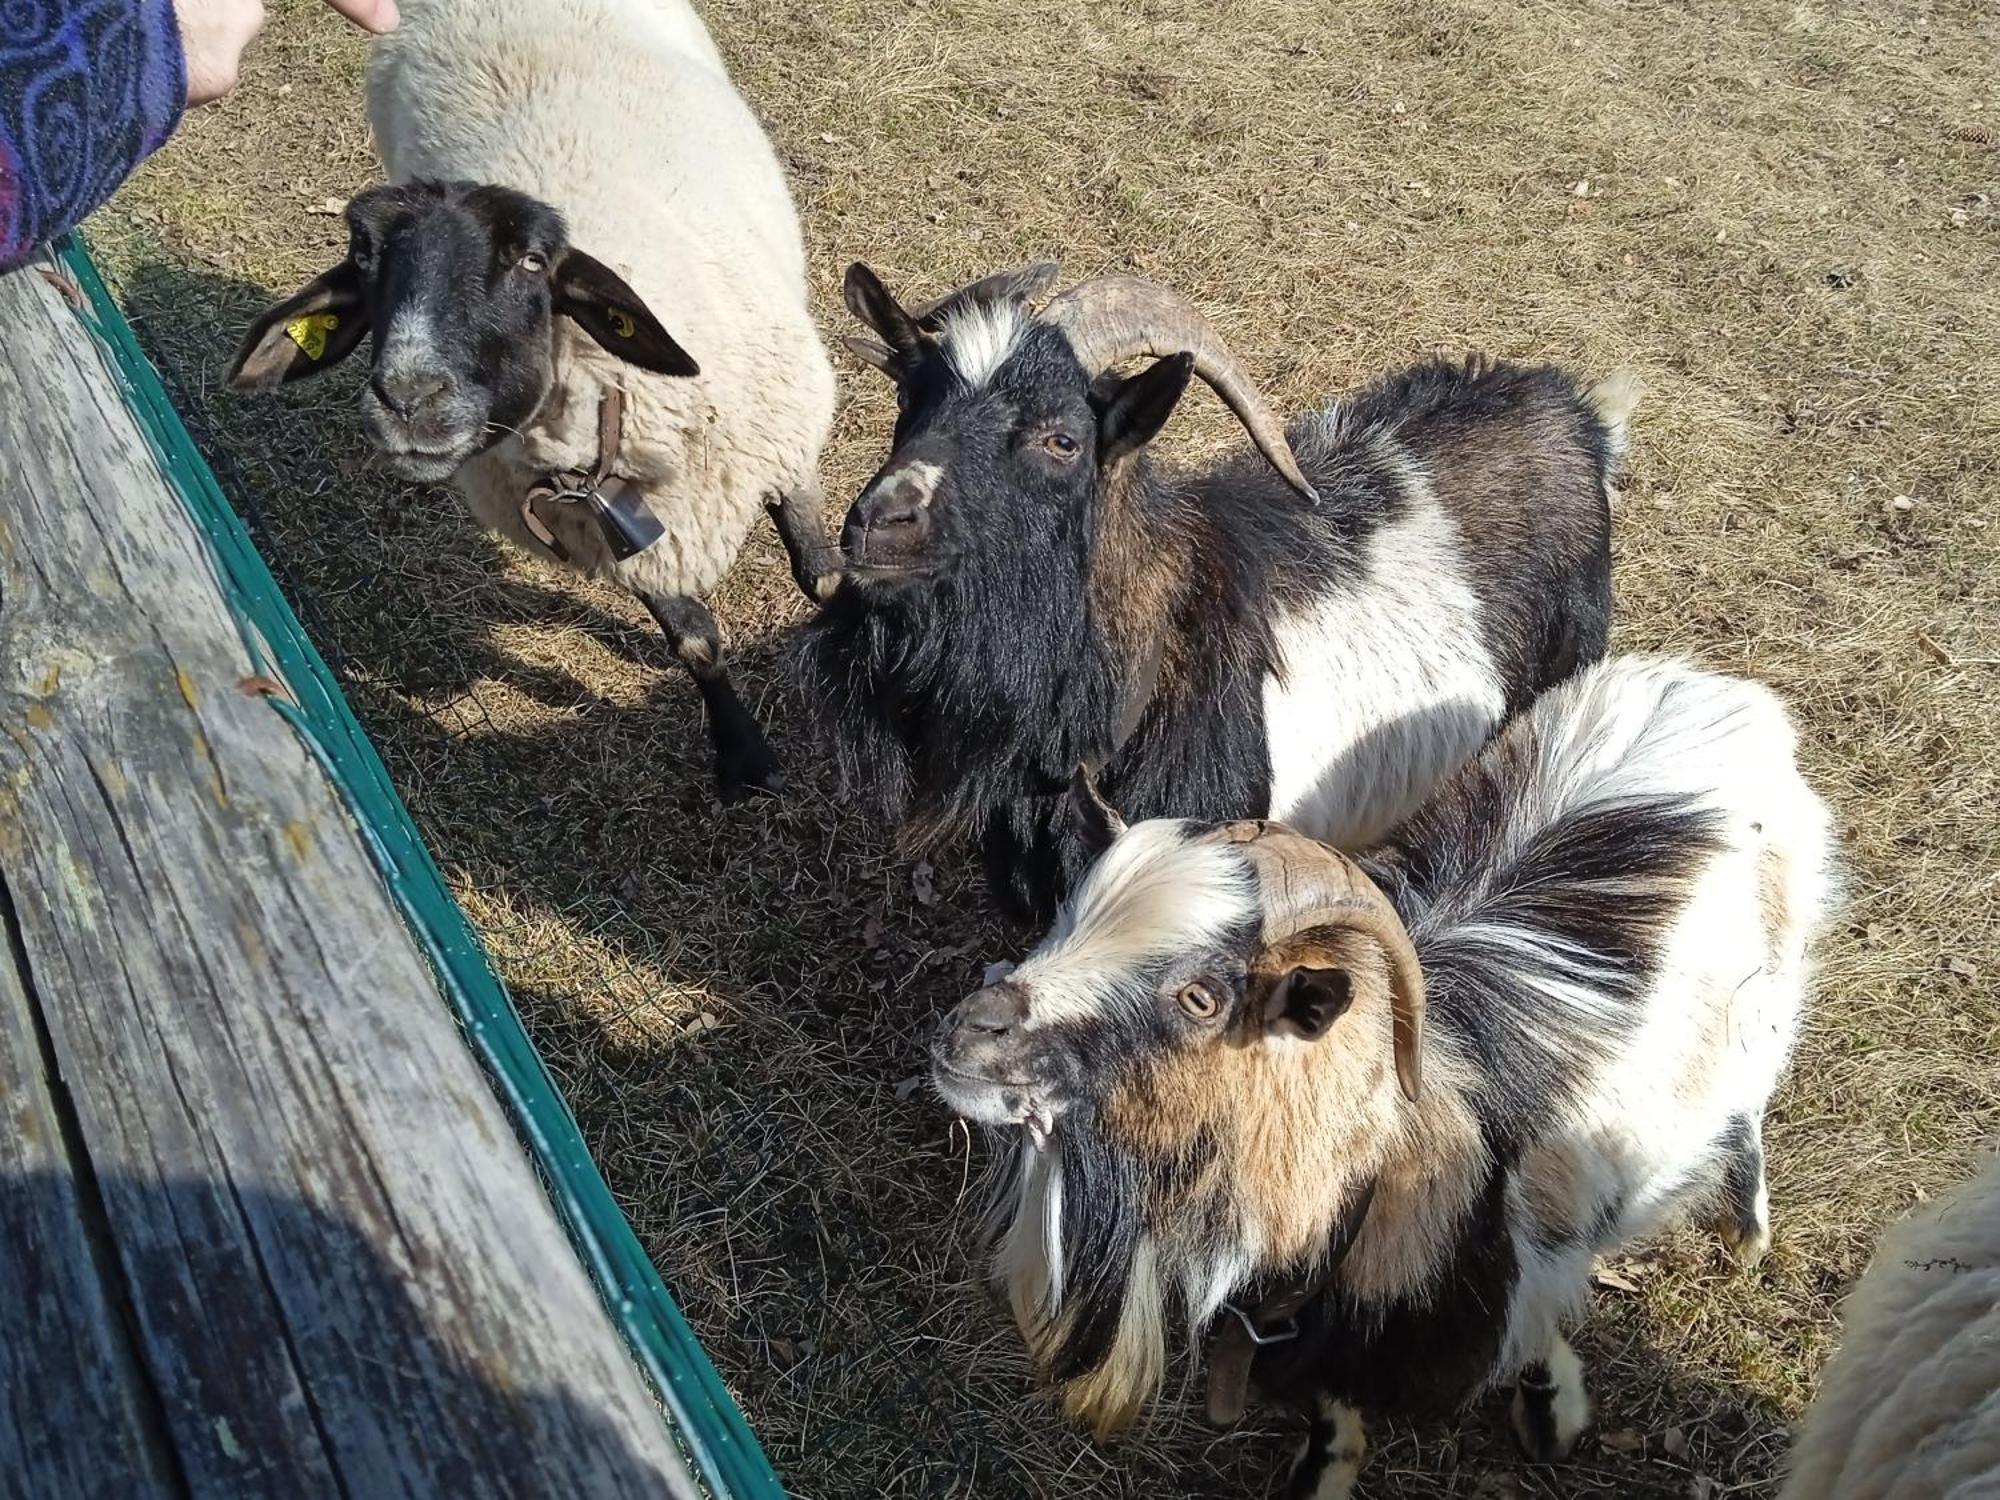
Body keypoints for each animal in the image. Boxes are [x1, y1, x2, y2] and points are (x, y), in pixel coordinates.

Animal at [928, 660, 1832, 1500]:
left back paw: (1747, 1228)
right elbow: (1332, 1404)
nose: (966, 1033)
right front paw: (1324, 1471)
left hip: (1769, 1007)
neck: (1374, 1163)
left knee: (1748, 1107)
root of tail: (1723, 690)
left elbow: (1533, 1323)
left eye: (1201, 997)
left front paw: (1554, 1411)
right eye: (1066, 918)